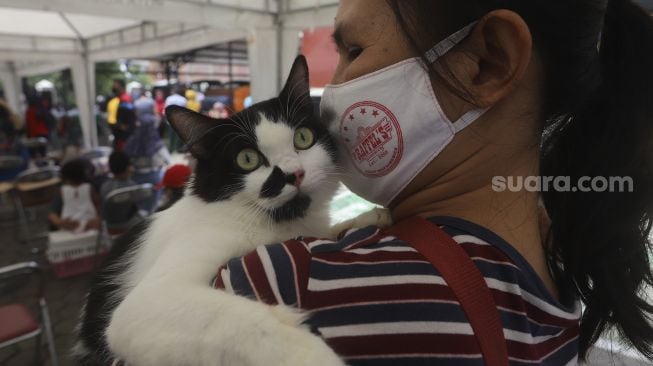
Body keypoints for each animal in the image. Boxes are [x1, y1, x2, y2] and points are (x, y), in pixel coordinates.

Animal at [76, 55, 346, 366]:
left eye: (303, 138)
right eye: (247, 159)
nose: (295, 174)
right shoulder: (142, 307)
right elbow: (244, 323)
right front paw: (312, 353)